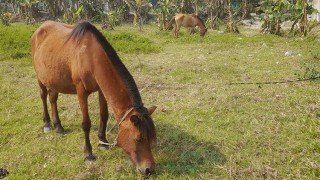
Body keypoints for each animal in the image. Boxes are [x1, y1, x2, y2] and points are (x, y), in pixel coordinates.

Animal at [31, 20, 157, 176]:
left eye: (151, 138)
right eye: (138, 139)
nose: (149, 169)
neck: (90, 57)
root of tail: (40, 28)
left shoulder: (101, 90)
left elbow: (104, 115)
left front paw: (102, 142)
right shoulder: (81, 91)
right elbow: (86, 123)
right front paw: (88, 154)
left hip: (54, 78)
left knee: (53, 99)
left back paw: (59, 127)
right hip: (40, 77)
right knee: (43, 97)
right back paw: (47, 124)